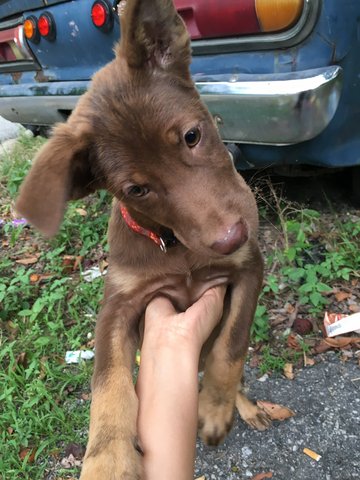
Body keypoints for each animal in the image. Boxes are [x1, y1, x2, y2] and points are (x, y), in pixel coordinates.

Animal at [16, 0, 270, 478]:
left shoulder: (248, 267)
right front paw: (108, 459)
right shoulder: (120, 305)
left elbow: (231, 343)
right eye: (137, 190)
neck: (176, 247)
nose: (230, 237)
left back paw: (242, 406)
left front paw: (214, 408)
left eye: (192, 136)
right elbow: (109, 380)